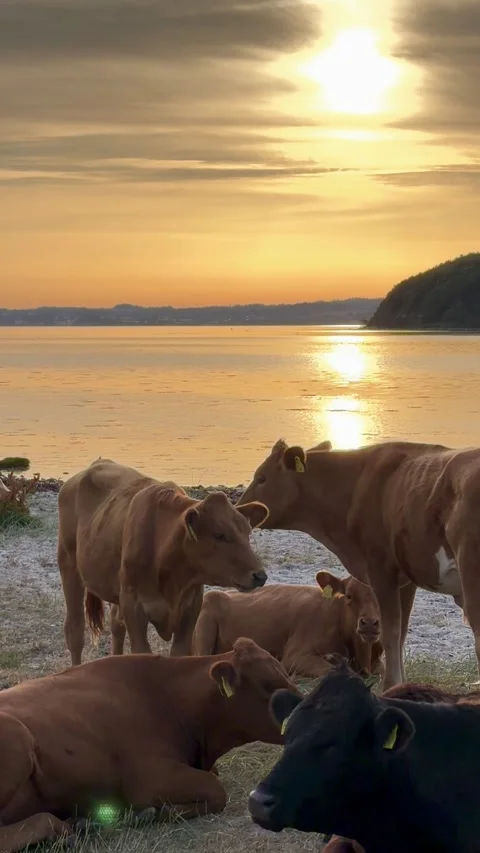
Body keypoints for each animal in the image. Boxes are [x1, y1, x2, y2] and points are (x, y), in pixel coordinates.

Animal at [57, 459, 269, 665]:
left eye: (247, 532)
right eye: (219, 535)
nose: (259, 575)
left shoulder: (191, 607)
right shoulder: (133, 607)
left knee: (116, 624)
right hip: (69, 563)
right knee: (75, 630)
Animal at [237, 437, 480, 688]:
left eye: (261, 478)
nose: (239, 509)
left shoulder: (379, 568)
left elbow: (390, 632)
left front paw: (390, 686)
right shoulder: (406, 578)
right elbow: (401, 632)